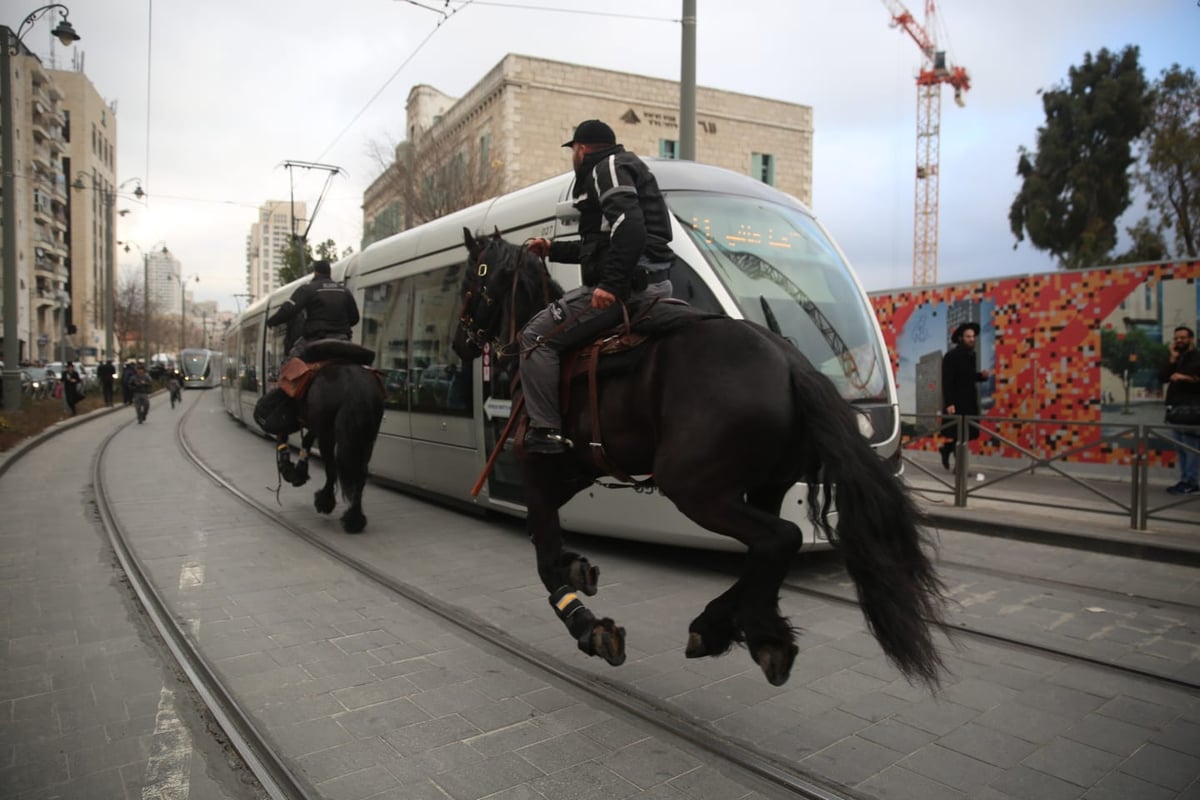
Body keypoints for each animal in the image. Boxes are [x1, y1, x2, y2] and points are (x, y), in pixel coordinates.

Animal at [451, 226, 945, 690]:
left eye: (468, 283)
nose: (459, 344)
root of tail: (790, 361)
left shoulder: (538, 466)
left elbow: (544, 555)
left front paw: (589, 627)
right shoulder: (577, 470)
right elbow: (543, 535)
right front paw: (578, 567)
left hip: (692, 487)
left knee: (780, 538)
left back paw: (724, 626)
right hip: (765, 485)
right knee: (767, 547)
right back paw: (749, 630)